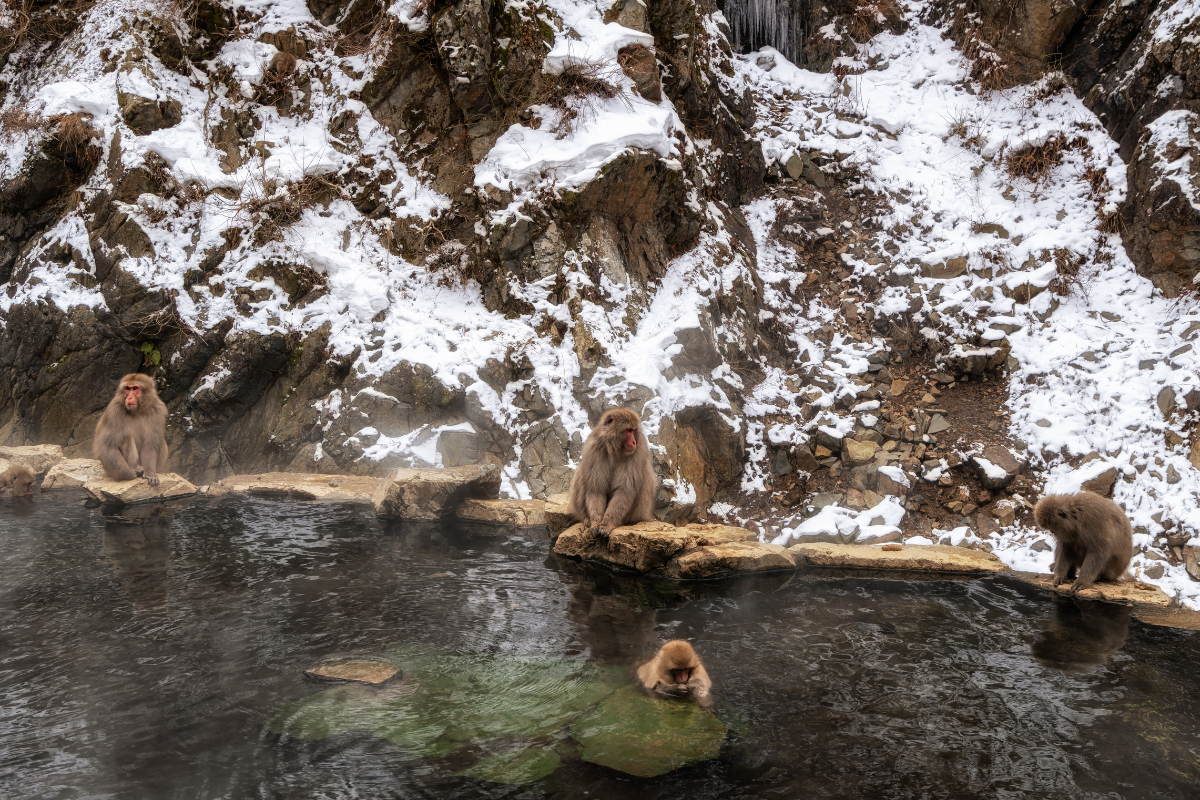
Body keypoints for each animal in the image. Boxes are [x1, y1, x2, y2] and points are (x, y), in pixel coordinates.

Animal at [568, 407, 657, 539]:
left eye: (634, 430)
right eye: (628, 430)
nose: (634, 442)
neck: (614, 449)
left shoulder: (637, 452)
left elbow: (625, 490)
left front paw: (606, 524)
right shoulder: (593, 449)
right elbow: (596, 489)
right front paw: (595, 523)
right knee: (581, 475)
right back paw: (587, 518)